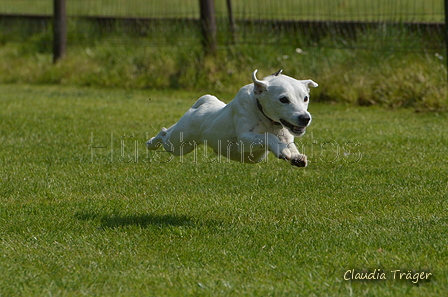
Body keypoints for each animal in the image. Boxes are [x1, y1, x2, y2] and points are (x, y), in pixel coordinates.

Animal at [147, 69, 318, 166]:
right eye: (283, 99)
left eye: (306, 98)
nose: (305, 118)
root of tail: (205, 102)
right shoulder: (244, 138)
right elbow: (268, 137)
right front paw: (282, 150)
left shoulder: (286, 135)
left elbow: (290, 144)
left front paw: (296, 156)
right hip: (180, 143)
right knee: (164, 133)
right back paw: (151, 144)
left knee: (168, 129)